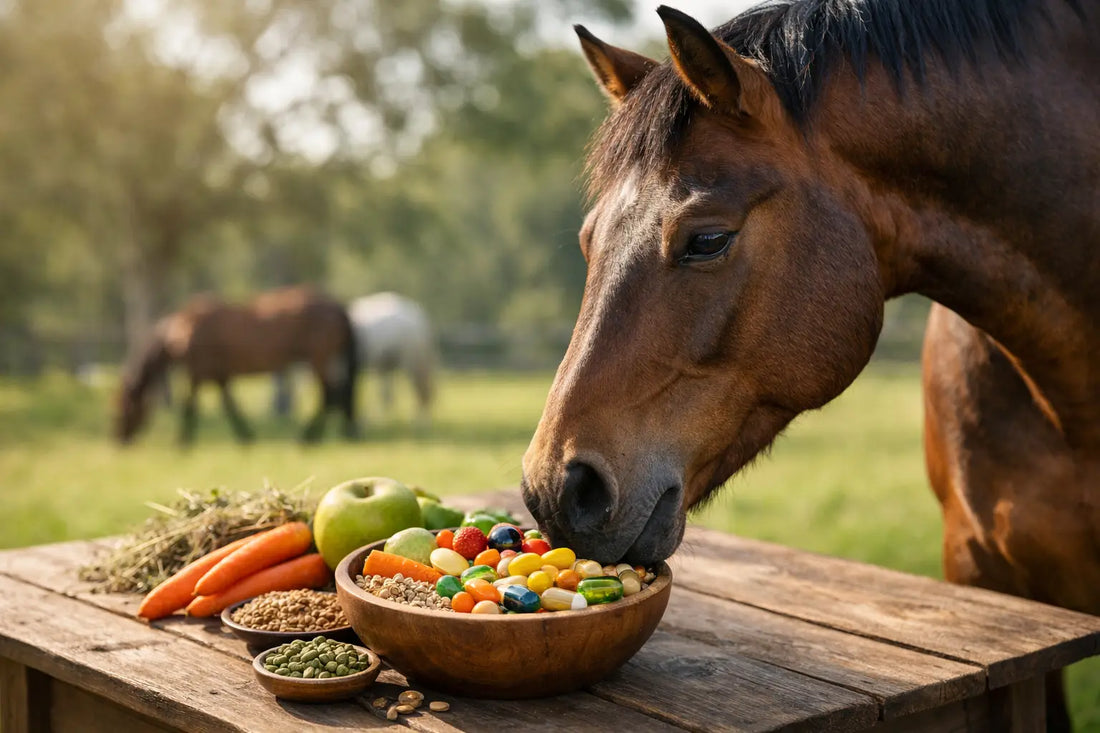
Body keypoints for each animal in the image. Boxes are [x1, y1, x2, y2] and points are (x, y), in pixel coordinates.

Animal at [115, 286, 359, 444]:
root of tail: (338, 308)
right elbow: (229, 404)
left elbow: (190, 406)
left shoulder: (197, 371)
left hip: (318, 359)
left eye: (123, 407)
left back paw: (308, 437)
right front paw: (246, 436)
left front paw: (182, 441)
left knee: (329, 395)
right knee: (335, 395)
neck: (185, 329)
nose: (118, 439)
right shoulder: (218, 374)